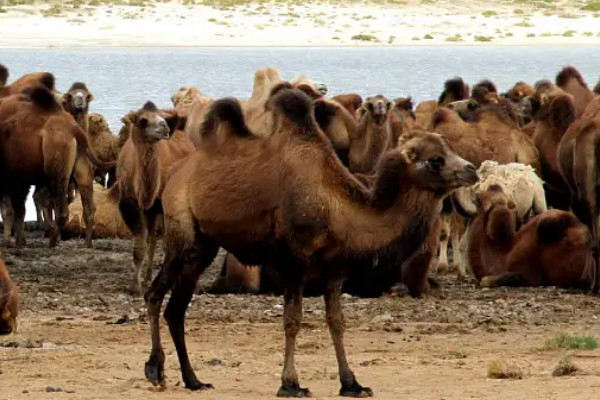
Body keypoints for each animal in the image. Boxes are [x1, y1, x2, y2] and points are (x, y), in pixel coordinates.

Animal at [0, 86, 112, 247]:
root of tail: (75, 129)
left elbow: (10, 209)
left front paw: (11, 241)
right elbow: (18, 209)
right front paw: (19, 241)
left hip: (56, 165)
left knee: (60, 208)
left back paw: (52, 241)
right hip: (82, 165)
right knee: (88, 206)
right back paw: (87, 243)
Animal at [116, 101, 193, 294]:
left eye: (163, 118)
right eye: (143, 120)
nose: (164, 127)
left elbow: (167, 246)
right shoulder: (130, 204)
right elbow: (139, 246)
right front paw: (135, 286)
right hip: (150, 211)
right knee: (151, 238)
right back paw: (147, 278)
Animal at [143, 85, 476, 396]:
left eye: (449, 149)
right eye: (435, 160)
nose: (471, 169)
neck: (335, 207)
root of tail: (177, 173)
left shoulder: (334, 270)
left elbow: (337, 322)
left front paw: (352, 383)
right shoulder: (294, 259)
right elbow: (292, 319)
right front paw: (291, 384)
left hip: (205, 246)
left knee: (177, 309)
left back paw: (193, 380)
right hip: (182, 232)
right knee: (155, 293)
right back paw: (155, 370)